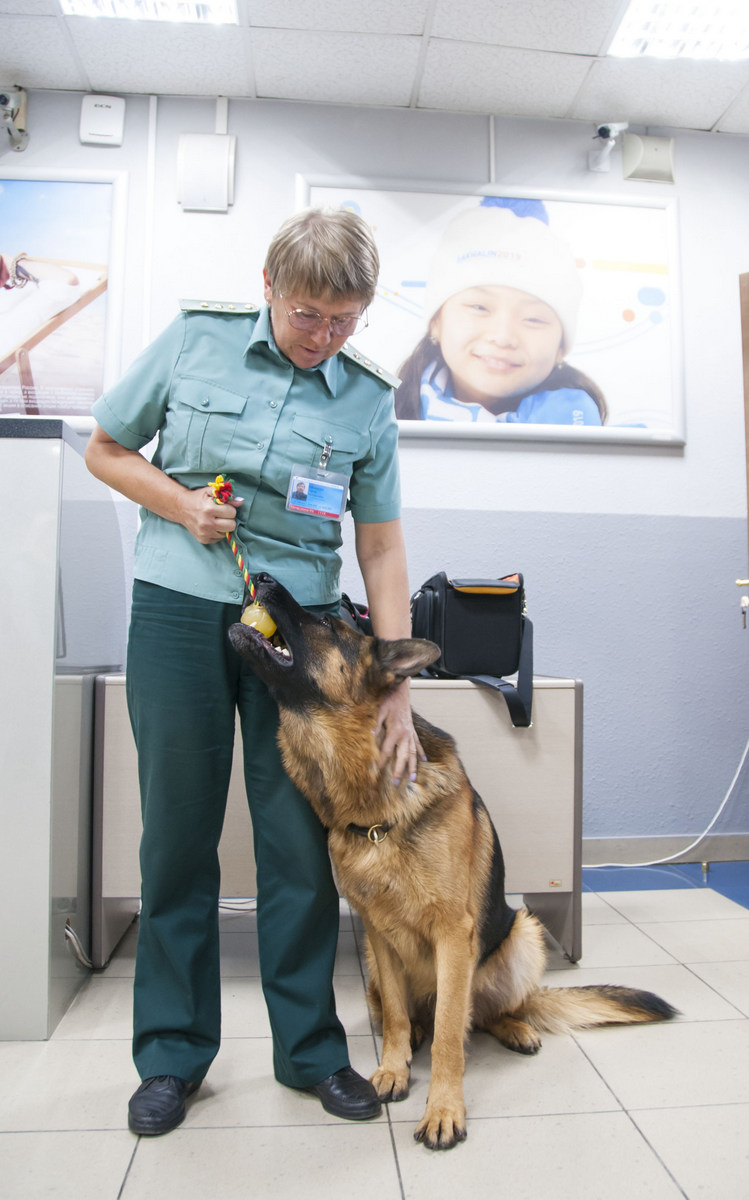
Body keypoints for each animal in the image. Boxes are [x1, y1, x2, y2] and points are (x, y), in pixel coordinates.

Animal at [226, 576, 672, 1147]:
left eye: (325, 622)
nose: (260, 576)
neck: (373, 804)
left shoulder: (453, 935)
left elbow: (447, 1040)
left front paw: (443, 1109)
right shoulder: (376, 933)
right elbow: (397, 1016)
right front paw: (393, 1068)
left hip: (521, 936)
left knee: (483, 1014)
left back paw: (515, 1027)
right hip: (379, 965)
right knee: (422, 1016)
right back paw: (419, 1034)